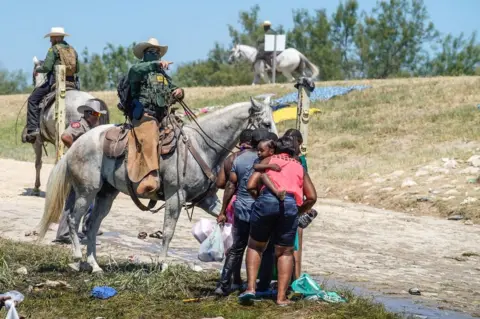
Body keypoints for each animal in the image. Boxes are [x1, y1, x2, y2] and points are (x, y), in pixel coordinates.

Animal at [36, 96, 278, 274]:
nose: (274, 148)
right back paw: (78, 257)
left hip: (106, 195)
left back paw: (95, 265)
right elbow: (168, 232)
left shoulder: (207, 200)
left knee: (93, 225)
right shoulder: (175, 196)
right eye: (266, 123)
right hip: (86, 192)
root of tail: (77, 144)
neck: (201, 146)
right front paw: (162, 264)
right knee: (73, 219)